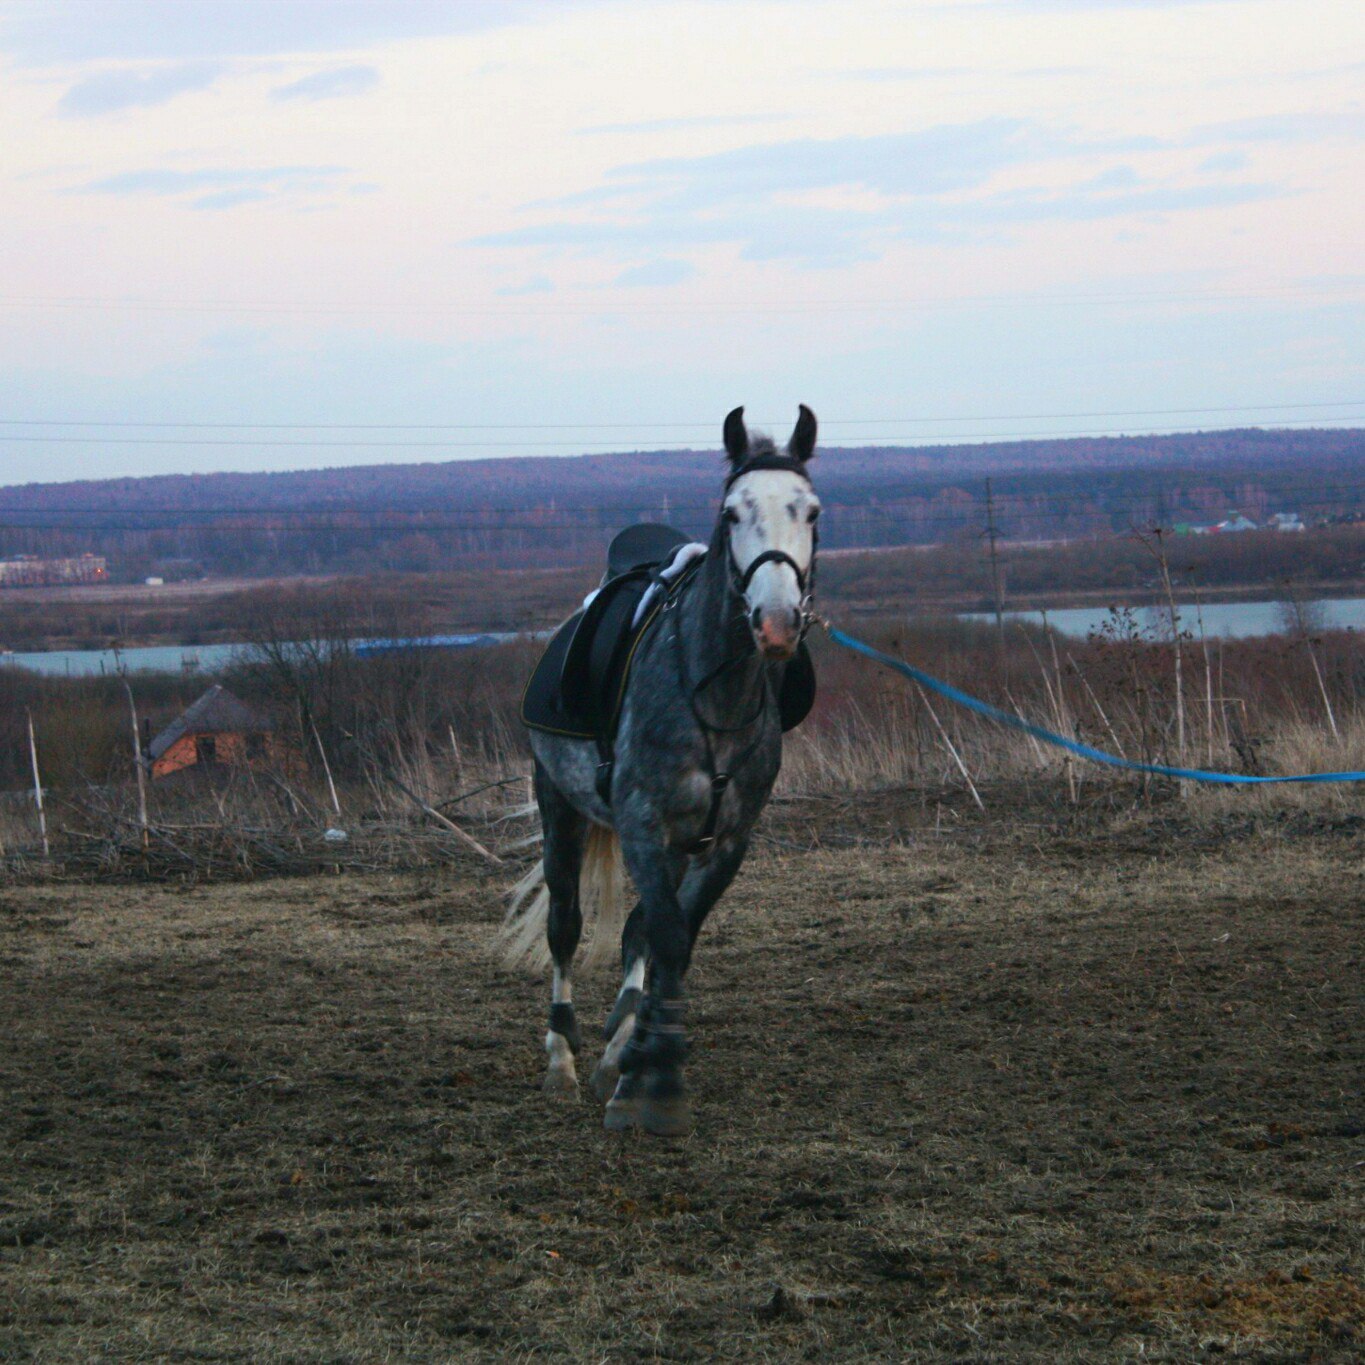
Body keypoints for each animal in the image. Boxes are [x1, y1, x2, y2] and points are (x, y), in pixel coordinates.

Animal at [505, 398, 813, 1135]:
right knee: (566, 926)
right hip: (560, 807)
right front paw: (656, 1081)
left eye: (811, 511)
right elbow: (666, 936)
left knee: (637, 931)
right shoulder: (643, 826)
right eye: (732, 512)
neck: (713, 694)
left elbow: (674, 937)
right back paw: (562, 1058)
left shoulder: (725, 840)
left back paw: (619, 1042)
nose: (777, 623)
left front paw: (640, 1062)